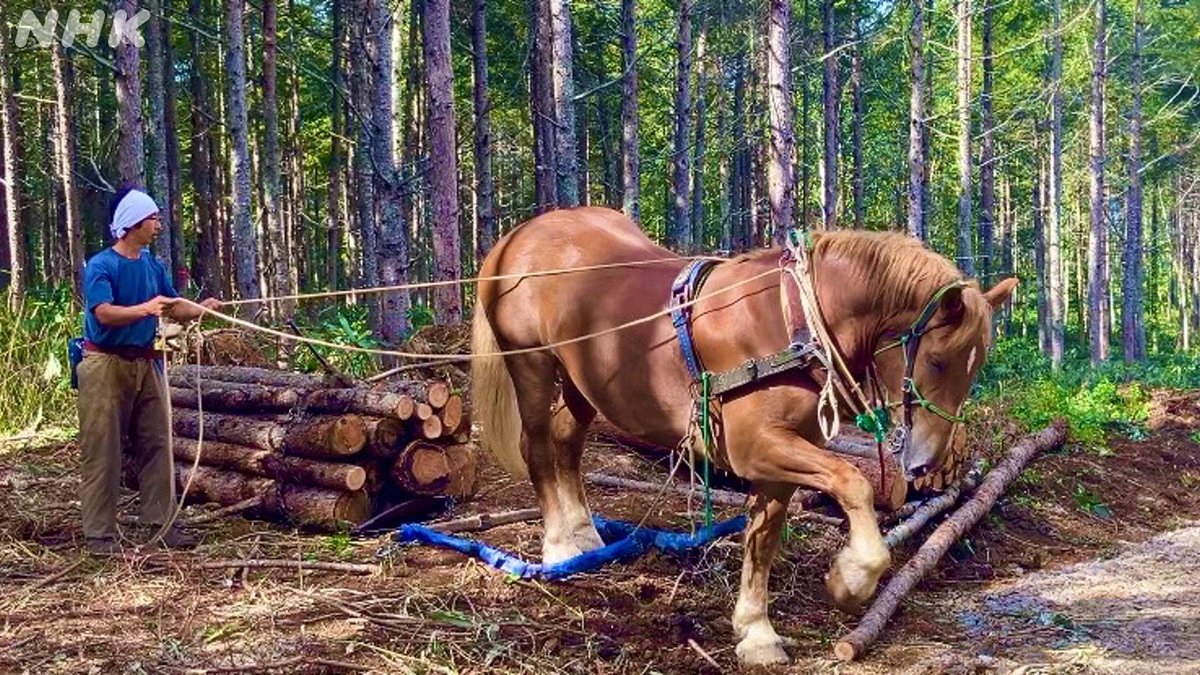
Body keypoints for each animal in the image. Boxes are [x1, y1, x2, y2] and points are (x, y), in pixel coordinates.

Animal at [470, 206, 1016, 665]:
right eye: (938, 360)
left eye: (974, 367)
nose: (926, 464)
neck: (790, 322)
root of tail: (519, 235)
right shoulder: (756, 448)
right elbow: (853, 483)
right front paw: (851, 579)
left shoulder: (783, 456)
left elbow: (763, 539)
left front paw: (756, 632)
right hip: (531, 364)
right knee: (537, 444)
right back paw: (559, 545)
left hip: (587, 380)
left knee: (567, 439)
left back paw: (585, 535)